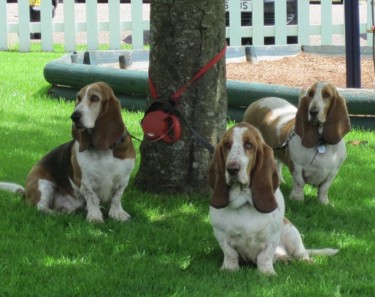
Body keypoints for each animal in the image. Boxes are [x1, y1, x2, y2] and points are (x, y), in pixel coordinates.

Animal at [0, 81, 135, 222]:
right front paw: (95, 217)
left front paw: (117, 214)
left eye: (95, 98)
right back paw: (58, 214)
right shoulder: (84, 180)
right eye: (78, 98)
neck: (104, 150)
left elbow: (116, 198)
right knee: (41, 207)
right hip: (43, 182)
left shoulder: (123, 179)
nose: (74, 116)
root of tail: (26, 193)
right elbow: (93, 199)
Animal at [209, 122, 338, 272]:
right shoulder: (220, 234)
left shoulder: (273, 236)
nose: (232, 169)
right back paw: (283, 259)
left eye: (249, 145)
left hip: (291, 231)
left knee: (301, 253)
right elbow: (230, 253)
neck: (245, 201)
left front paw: (267, 273)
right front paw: (229, 269)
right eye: (227, 145)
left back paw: (306, 262)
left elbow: (265, 256)